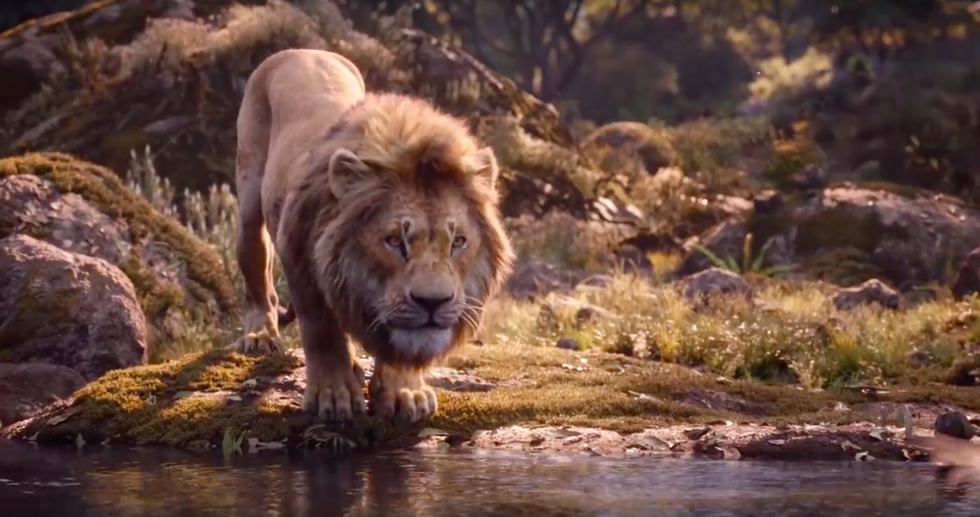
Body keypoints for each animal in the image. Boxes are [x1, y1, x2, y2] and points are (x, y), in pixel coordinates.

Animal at [231, 48, 515, 423]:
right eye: (394, 241)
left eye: (457, 242)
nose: (433, 302)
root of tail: (303, 50)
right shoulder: (298, 256)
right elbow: (322, 329)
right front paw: (333, 395)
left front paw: (405, 392)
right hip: (249, 200)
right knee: (257, 273)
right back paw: (260, 334)